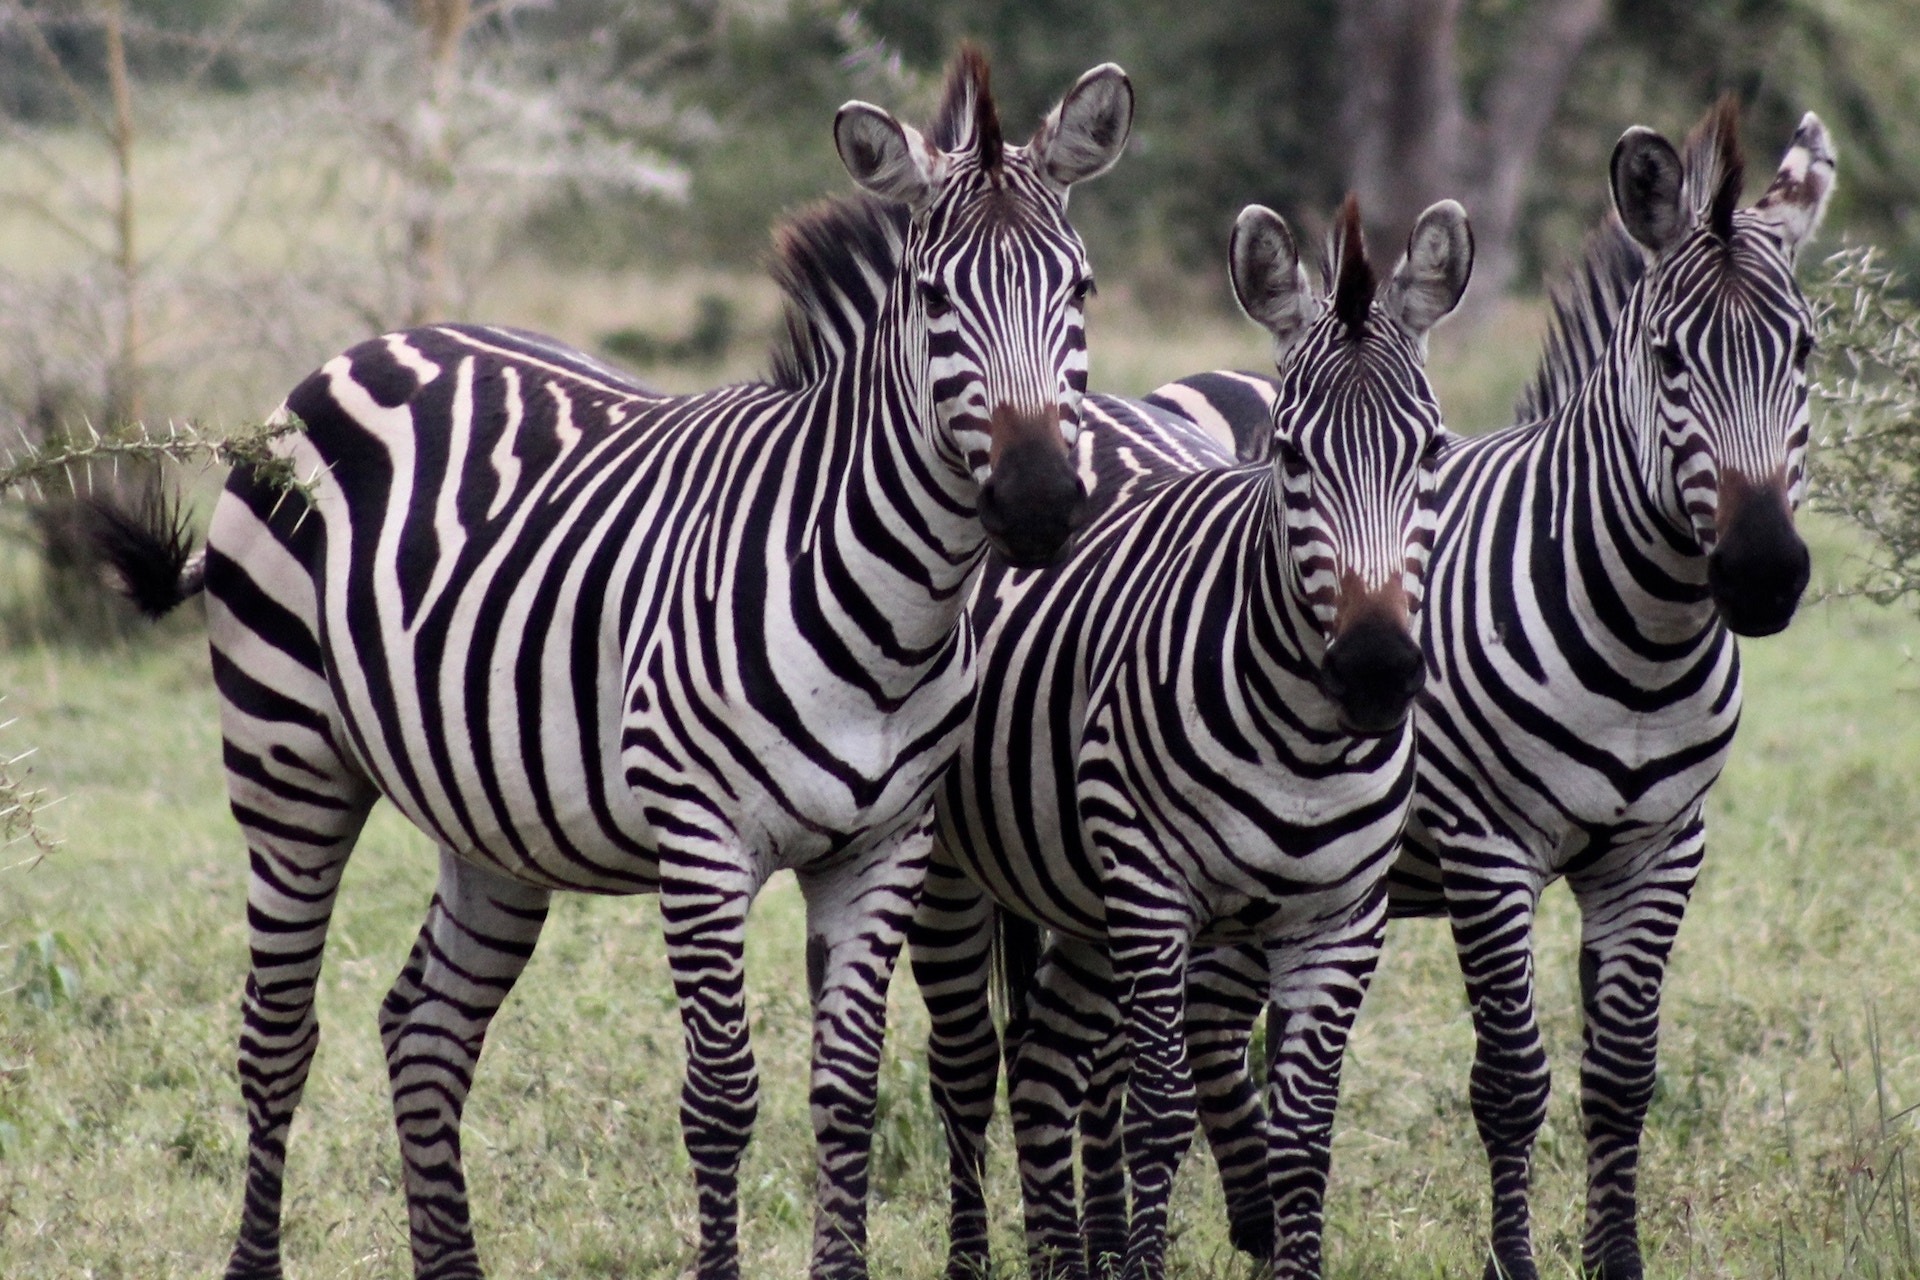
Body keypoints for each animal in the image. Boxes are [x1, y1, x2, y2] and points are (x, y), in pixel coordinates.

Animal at [91, 49, 1133, 1280]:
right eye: (932, 300)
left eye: (1082, 292)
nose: (1040, 503)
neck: (892, 615)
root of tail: (361, 350)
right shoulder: (702, 840)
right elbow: (723, 1099)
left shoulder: (885, 846)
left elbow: (846, 1095)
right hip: (286, 763)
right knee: (277, 1036)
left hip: (488, 816)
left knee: (423, 1030)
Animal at [911, 194, 1474, 1280]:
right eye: (1289, 455)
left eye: (1430, 451)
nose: (1377, 670)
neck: (1308, 749)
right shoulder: (1154, 890)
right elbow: (1160, 1116)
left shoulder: (1344, 918)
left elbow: (1304, 1135)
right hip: (965, 874)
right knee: (964, 1074)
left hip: (1082, 897)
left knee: (1043, 1068)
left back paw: (1058, 1264)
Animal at [1131, 99, 1837, 1280]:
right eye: (1667, 358)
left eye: (1806, 351)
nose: (1763, 573)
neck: (1643, 642)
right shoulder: (1484, 845)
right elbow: (1511, 1082)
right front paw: (1517, 1259)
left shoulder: (1661, 848)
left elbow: (1623, 1077)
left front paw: (1617, 1259)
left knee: (1219, 1027)